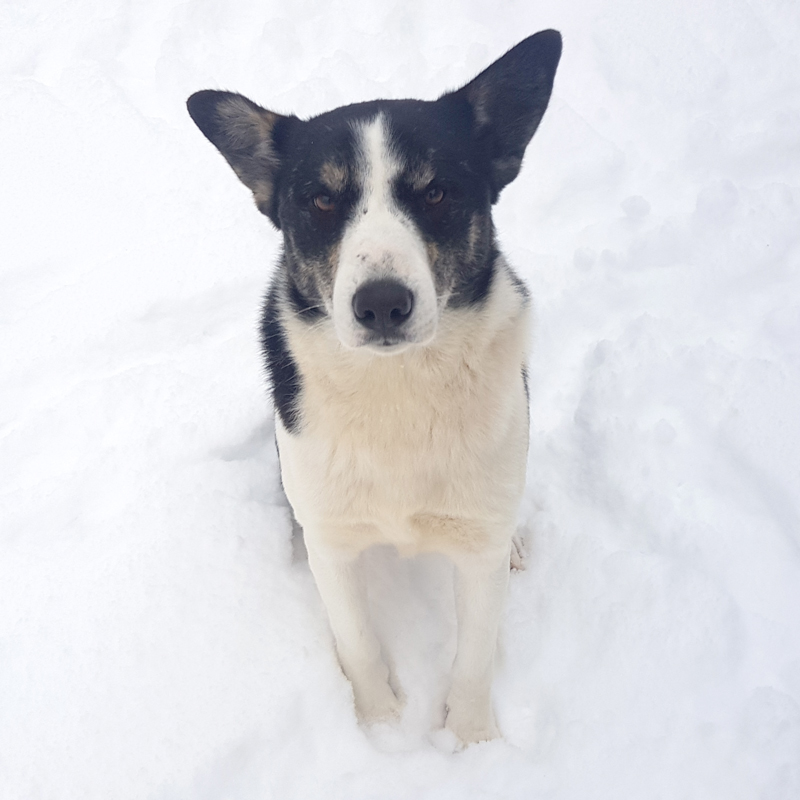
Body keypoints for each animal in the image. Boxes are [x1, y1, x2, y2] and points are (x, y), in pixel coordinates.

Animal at [188, 29, 564, 744]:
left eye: (437, 193)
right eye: (321, 200)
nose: (382, 304)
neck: (399, 391)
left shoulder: (476, 544)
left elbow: (474, 657)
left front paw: (471, 742)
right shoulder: (334, 541)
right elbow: (358, 642)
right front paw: (382, 727)